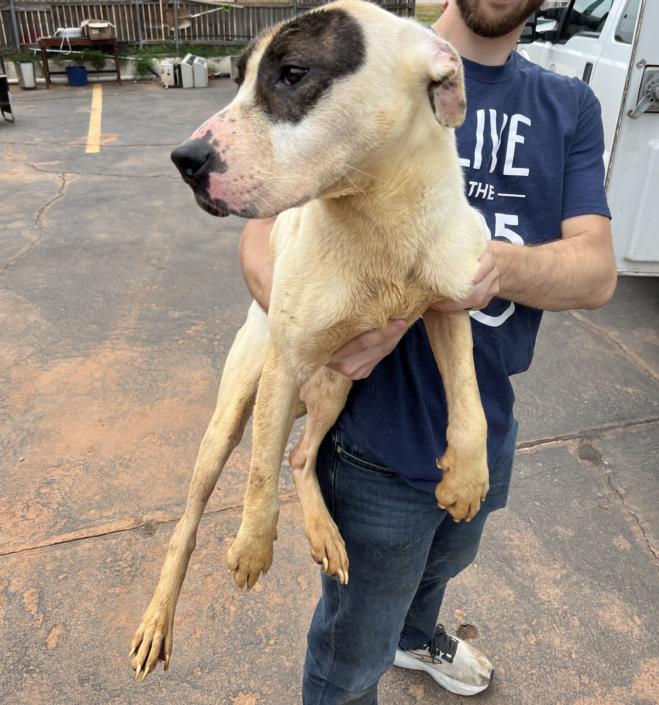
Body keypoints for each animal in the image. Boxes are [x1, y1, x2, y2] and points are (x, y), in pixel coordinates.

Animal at [130, 1, 490, 680]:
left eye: (293, 73)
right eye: (237, 76)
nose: (184, 159)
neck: (379, 220)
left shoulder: (450, 305)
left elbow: (470, 400)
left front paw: (466, 478)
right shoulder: (287, 359)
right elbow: (256, 473)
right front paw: (251, 546)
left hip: (336, 386)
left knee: (299, 457)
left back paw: (325, 531)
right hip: (238, 406)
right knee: (195, 513)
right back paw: (158, 618)